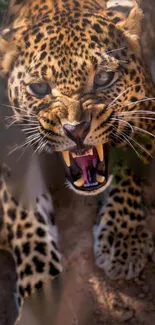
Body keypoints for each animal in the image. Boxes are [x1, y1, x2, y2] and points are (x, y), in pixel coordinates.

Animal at [0, 0, 155, 322]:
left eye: (104, 78)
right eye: (40, 88)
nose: (76, 129)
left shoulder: (146, 109)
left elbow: (127, 171)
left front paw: (123, 240)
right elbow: (26, 221)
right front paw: (41, 296)